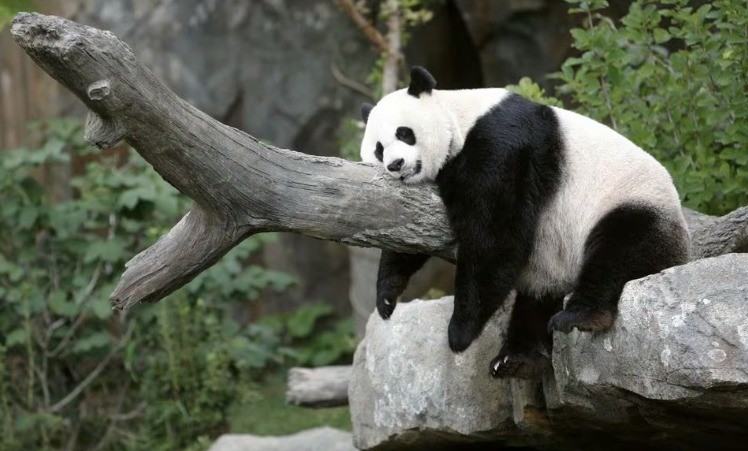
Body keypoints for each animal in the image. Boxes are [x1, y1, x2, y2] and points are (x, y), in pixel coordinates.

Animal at [360, 66, 690, 379]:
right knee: (537, 297)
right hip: (553, 263)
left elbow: (494, 235)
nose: (396, 165)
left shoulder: (501, 145)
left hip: (631, 204)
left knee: (619, 251)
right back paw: (517, 358)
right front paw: (387, 296)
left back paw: (580, 317)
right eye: (378, 148)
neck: (460, 117)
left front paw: (459, 333)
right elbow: (410, 230)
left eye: (404, 133)